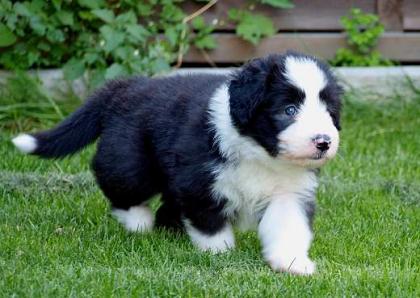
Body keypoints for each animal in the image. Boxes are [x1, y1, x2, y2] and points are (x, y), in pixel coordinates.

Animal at [12, 52, 342, 276]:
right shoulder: (199, 180)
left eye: (328, 110)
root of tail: (125, 87)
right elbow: (209, 221)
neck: (259, 153)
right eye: (289, 110)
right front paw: (218, 253)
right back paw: (139, 222)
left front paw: (292, 262)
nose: (323, 141)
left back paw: (167, 227)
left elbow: (288, 226)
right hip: (130, 160)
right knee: (118, 185)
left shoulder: (288, 192)